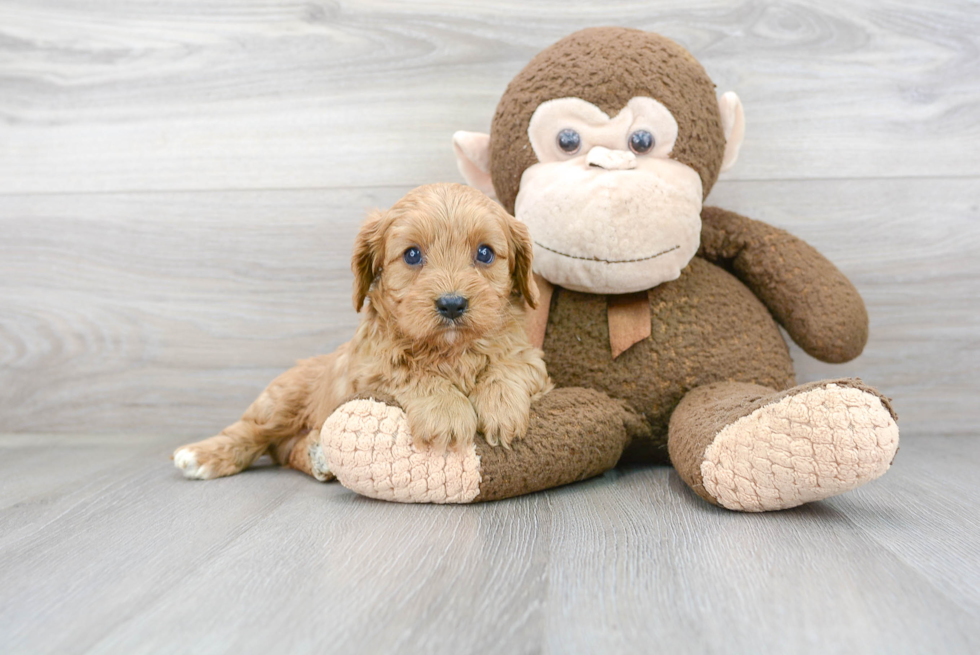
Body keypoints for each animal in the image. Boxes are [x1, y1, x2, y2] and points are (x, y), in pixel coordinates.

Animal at [174, 182, 552, 480]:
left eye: (485, 253)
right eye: (412, 255)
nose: (452, 304)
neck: (449, 351)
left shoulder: (533, 360)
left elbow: (510, 365)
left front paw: (501, 407)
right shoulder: (369, 369)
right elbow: (409, 370)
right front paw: (446, 412)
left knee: (284, 449)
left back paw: (317, 454)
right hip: (282, 398)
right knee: (253, 432)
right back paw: (201, 455)